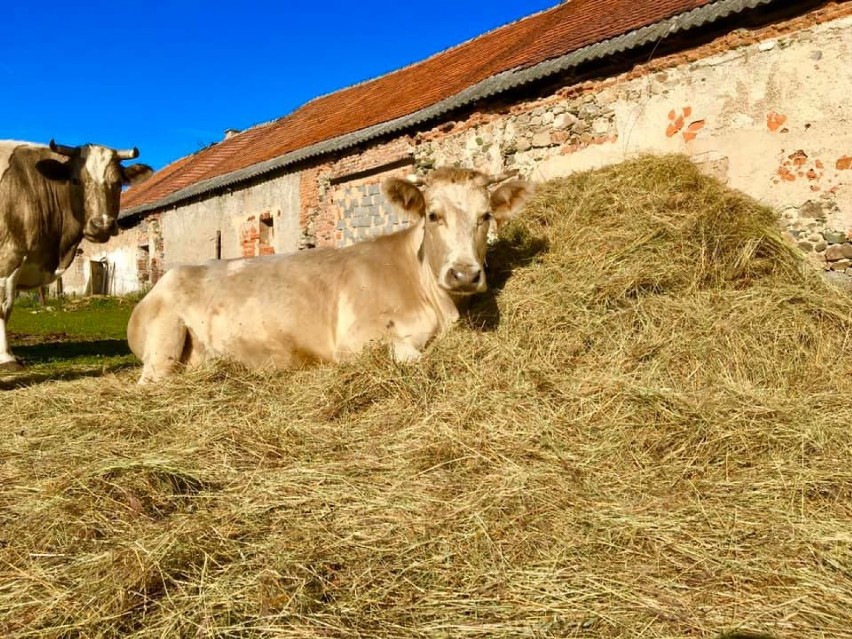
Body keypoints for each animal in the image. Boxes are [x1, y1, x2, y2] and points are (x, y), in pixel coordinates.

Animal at [0, 139, 153, 370]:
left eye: (118, 183)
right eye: (75, 180)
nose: (102, 225)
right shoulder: (8, 256)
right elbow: (4, 306)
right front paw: (6, 358)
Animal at [126, 168, 532, 382]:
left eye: (485, 216)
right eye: (433, 215)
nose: (464, 274)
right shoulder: (355, 340)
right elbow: (414, 357)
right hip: (164, 339)